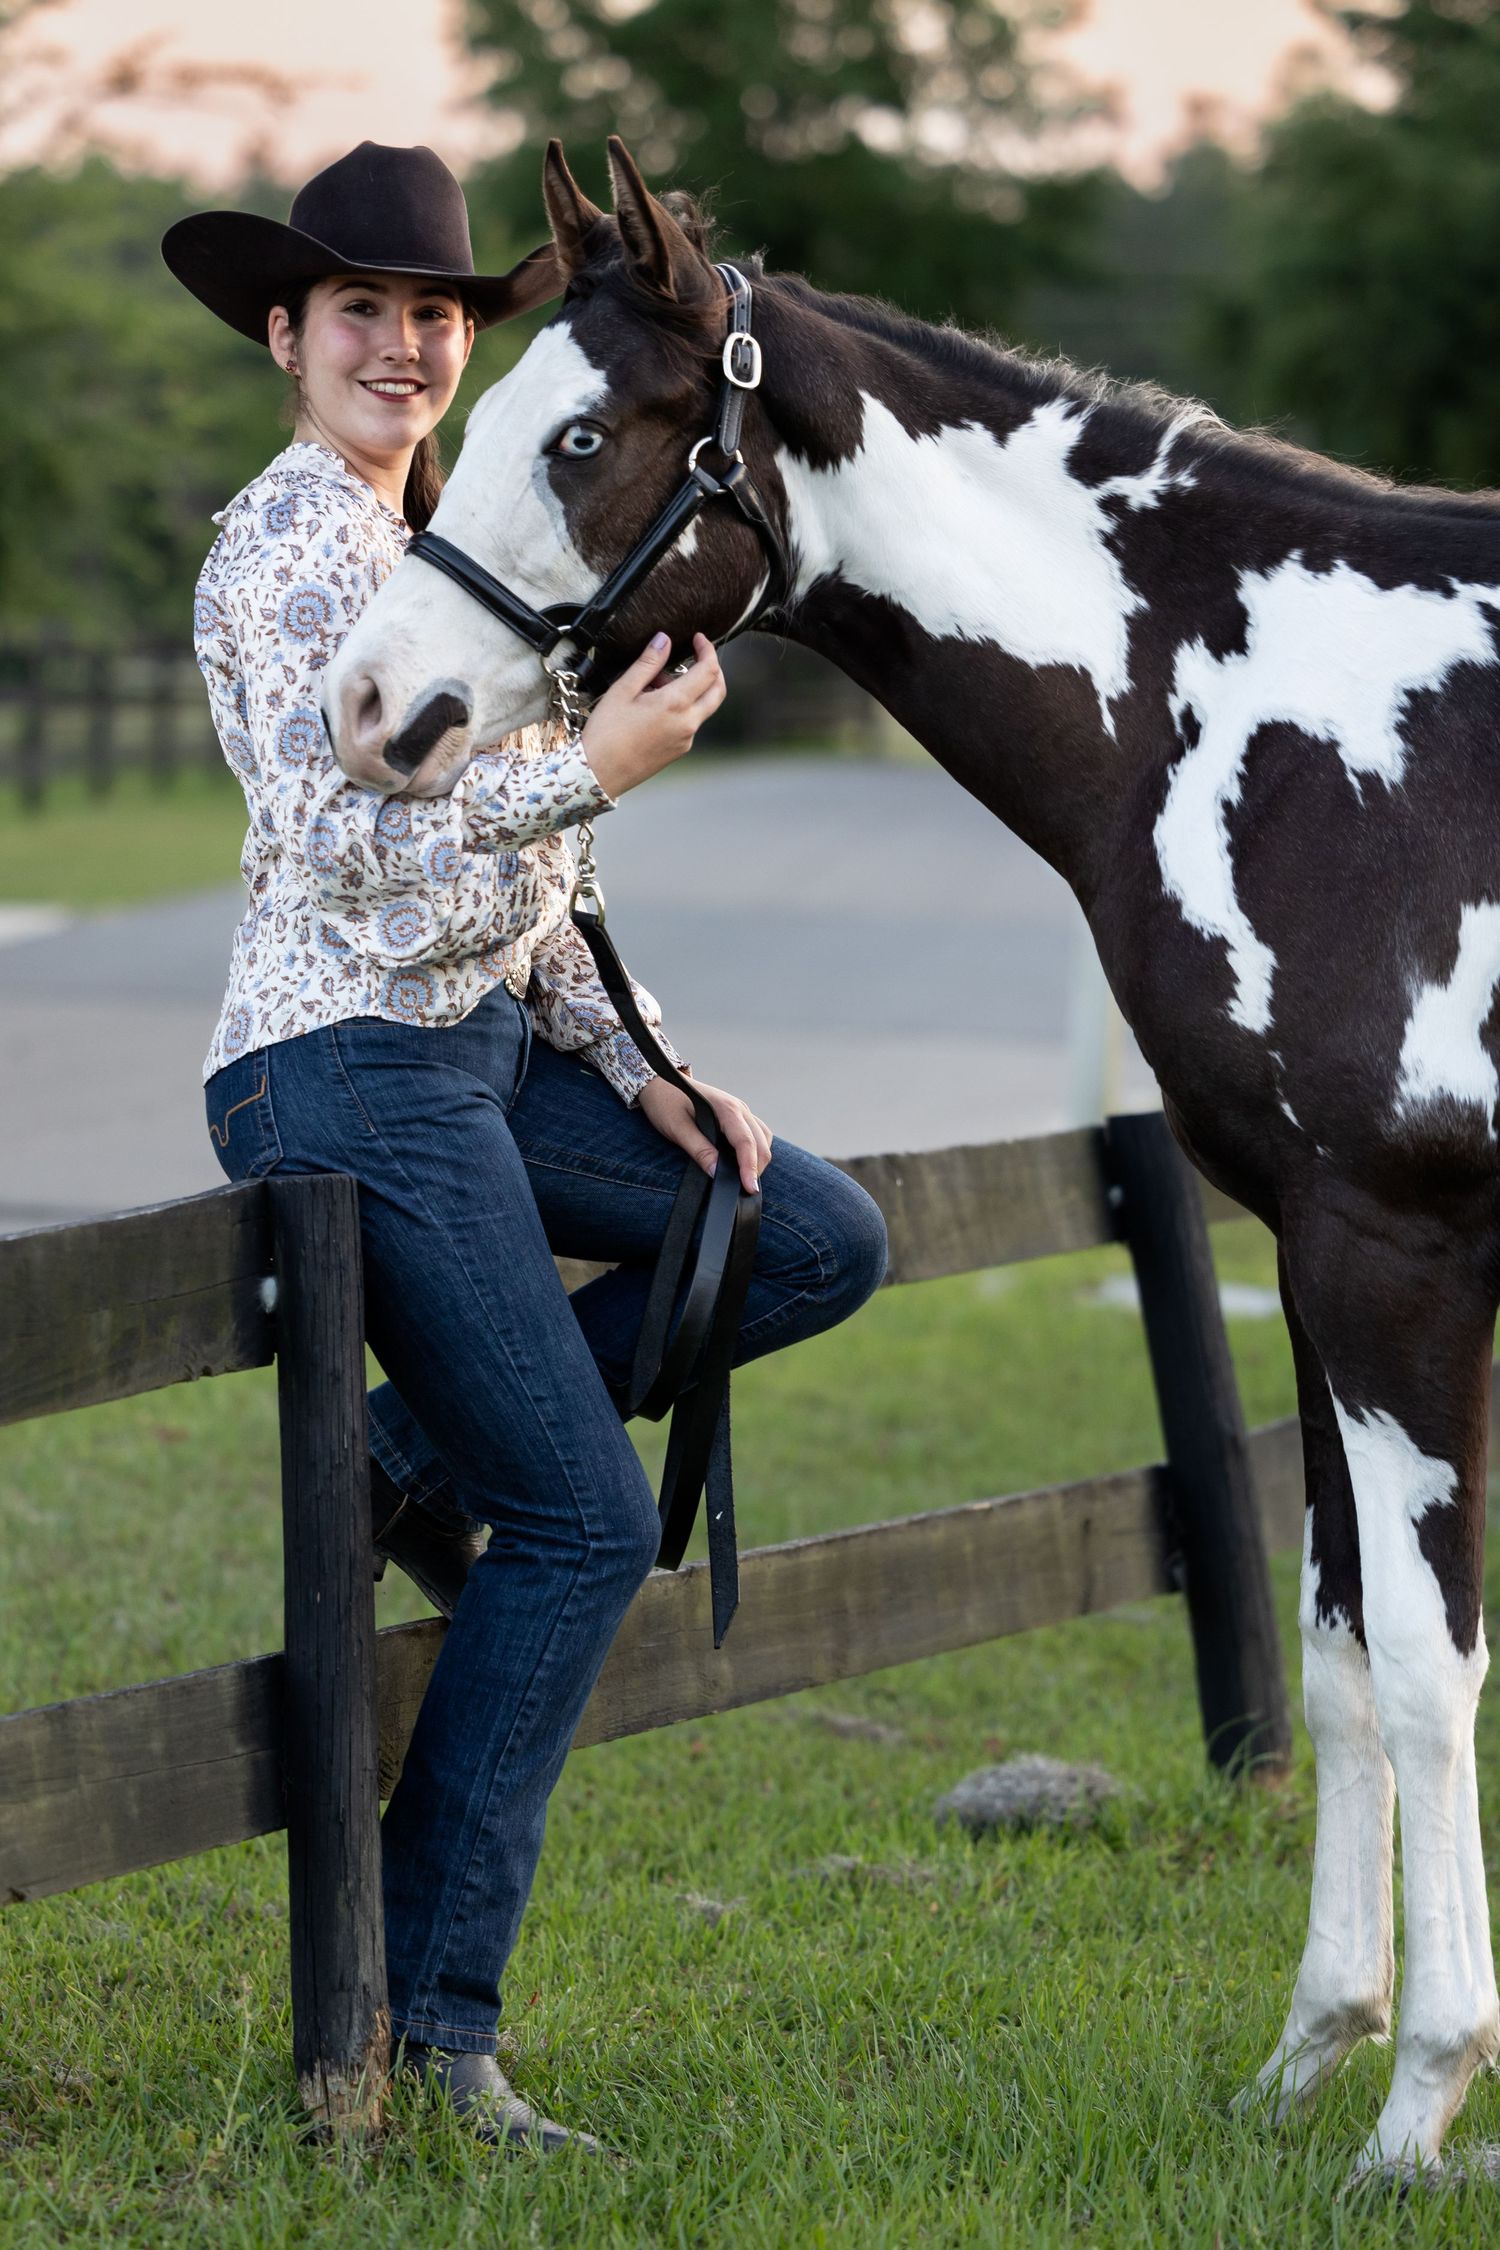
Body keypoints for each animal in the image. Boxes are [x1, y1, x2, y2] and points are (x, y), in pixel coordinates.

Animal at [322, 137, 1500, 2175]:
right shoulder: (1311, 1262)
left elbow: (1433, 1673)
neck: (1294, 725)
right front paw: (1310, 2061)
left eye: (577, 434)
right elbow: (1345, 1654)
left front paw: (1418, 2105)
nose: (372, 709)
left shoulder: (1402, 1257)